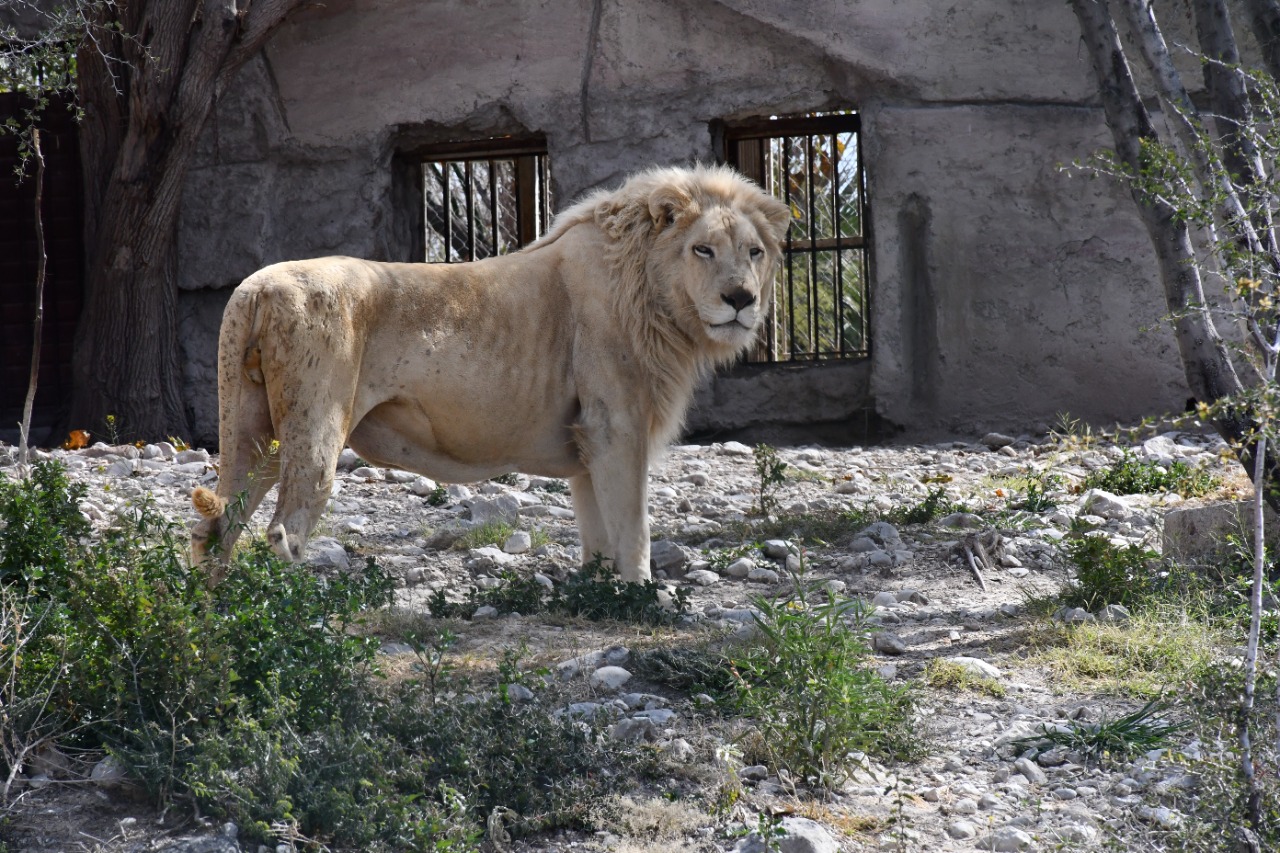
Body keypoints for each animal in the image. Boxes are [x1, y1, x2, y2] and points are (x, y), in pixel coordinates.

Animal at [189, 162, 788, 581]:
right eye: (703, 250)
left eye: (754, 252)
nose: (741, 299)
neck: (653, 294)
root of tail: (256, 287)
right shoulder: (616, 425)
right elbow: (634, 527)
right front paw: (645, 599)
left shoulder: (586, 439)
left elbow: (599, 533)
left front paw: (604, 597)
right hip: (315, 429)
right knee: (282, 533)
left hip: (251, 433)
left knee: (214, 528)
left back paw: (214, 628)